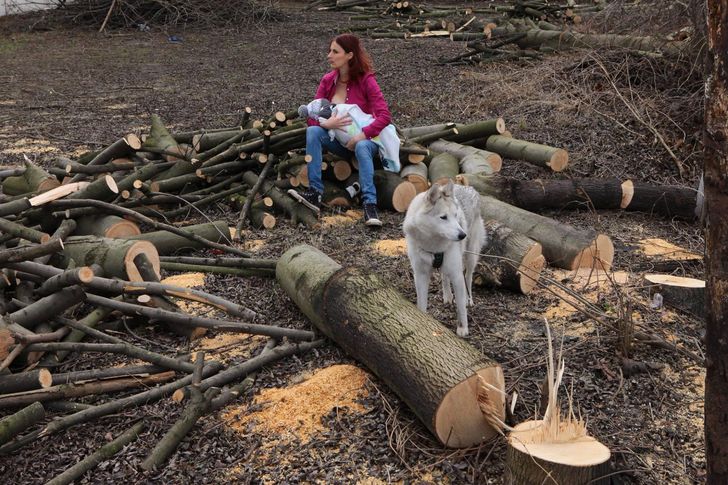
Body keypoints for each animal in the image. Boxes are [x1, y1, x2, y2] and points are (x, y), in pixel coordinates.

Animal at [400, 181, 486, 336]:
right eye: (443, 217)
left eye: (455, 215)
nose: (462, 235)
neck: (433, 244)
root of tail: (469, 187)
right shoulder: (420, 274)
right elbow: (422, 303)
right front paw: (421, 319)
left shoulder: (457, 275)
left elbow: (461, 308)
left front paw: (462, 329)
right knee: (444, 276)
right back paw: (447, 296)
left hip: (471, 256)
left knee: (468, 277)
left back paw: (468, 298)